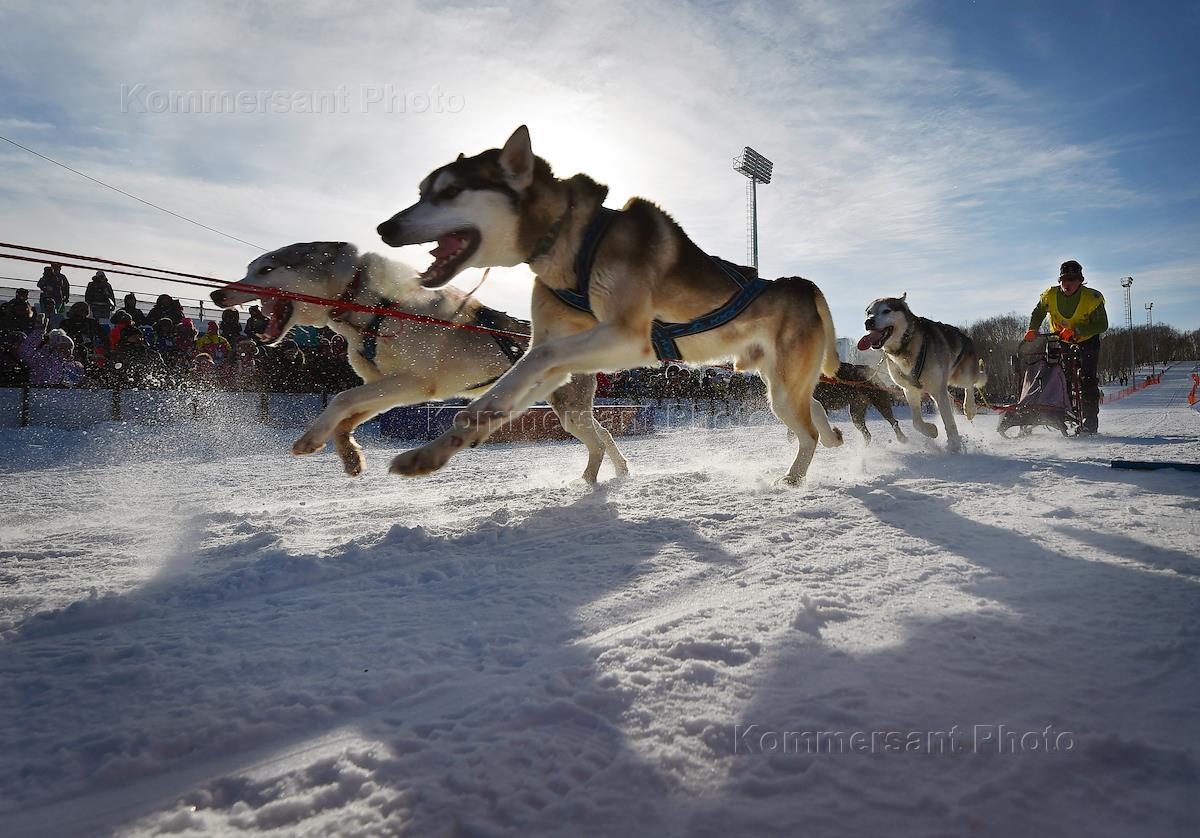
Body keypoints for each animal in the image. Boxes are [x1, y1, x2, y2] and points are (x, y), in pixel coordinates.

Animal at [211, 237, 633, 480]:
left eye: (266, 269)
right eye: (250, 268)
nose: (217, 294)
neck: (377, 308)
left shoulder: (412, 383)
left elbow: (341, 399)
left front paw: (311, 438)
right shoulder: (389, 387)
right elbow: (347, 416)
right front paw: (350, 455)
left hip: (569, 412)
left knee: (598, 441)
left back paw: (591, 480)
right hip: (569, 411)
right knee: (606, 434)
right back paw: (618, 470)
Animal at [374, 124, 844, 482]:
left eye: (451, 190)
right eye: (422, 190)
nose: (384, 227)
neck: (568, 240)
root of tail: (801, 285)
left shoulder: (625, 337)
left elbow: (537, 358)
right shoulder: (560, 354)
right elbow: (506, 390)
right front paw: (436, 449)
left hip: (781, 387)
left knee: (807, 432)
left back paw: (794, 479)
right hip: (778, 383)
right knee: (815, 409)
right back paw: (833, 437)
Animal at [859, 291, 988, 453]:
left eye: (886, 311)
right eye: (868, 312)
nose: (868, 322)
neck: (906, 348)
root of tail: (966, 336)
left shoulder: (938, 390)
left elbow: (949, 422)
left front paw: (954, 446)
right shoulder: (910, 390)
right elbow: (916, 422)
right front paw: (931, 431)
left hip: (960, 376)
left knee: (970, 384)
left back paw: (969, 408)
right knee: (951, 397)